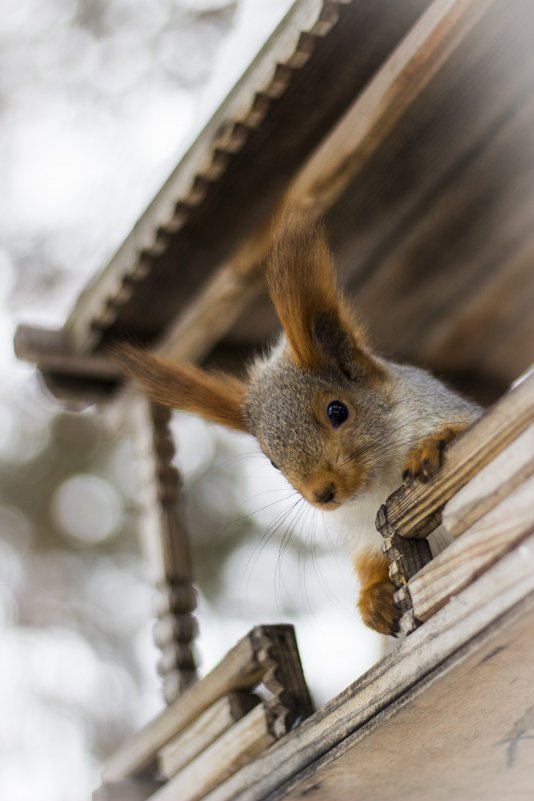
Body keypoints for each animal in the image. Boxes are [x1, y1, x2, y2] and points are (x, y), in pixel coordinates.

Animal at [112, 209, 482, 636]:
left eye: (337, 411)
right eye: (273, 462)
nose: (322, 493)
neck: (380, 481)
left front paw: (431, 446)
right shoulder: (361, 535)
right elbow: (374, 566)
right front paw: (374, 601)